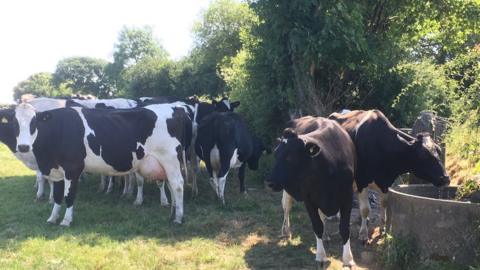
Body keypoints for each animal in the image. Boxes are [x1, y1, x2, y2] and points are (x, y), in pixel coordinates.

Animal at [266, 117, 356, 266]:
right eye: (275, 155)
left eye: (290, 157)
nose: (269, 182)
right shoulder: (308, 199)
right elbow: (317, 225)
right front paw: (321, 255)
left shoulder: (347, 197)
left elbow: (344, 228)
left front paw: (348, 259)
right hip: (287, 190)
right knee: (286, 207)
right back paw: (286, 231)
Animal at [280, 109, 448, 243]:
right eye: (424, 155)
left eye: (439, 150)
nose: (445, 178)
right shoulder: (361, 181)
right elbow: (365, 209)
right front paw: (363, 234)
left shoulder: (385, 182)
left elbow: (384, 204)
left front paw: (383, 229)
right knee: (287, 204)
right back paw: (288, 232)